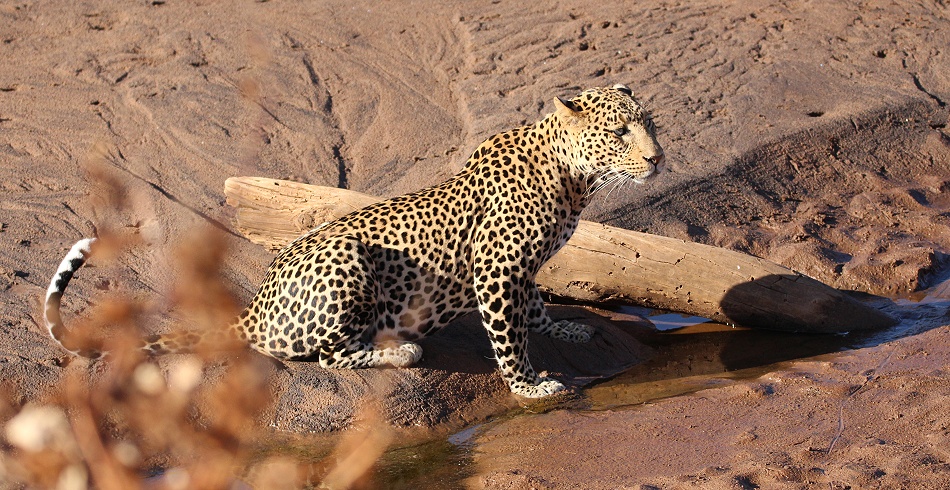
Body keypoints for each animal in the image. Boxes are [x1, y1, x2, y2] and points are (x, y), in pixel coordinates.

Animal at [44, 84, 664, 398]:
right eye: (619, 132)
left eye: (649, 122)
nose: (658, 158)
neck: (574, 181)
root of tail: (255, 309)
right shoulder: (497, 268)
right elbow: (508, 336)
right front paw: (529, 385)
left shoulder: (522, 271)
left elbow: (533, 308)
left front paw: (566, 328)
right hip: (349, 265)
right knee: (327, 356)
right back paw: (400, 350)